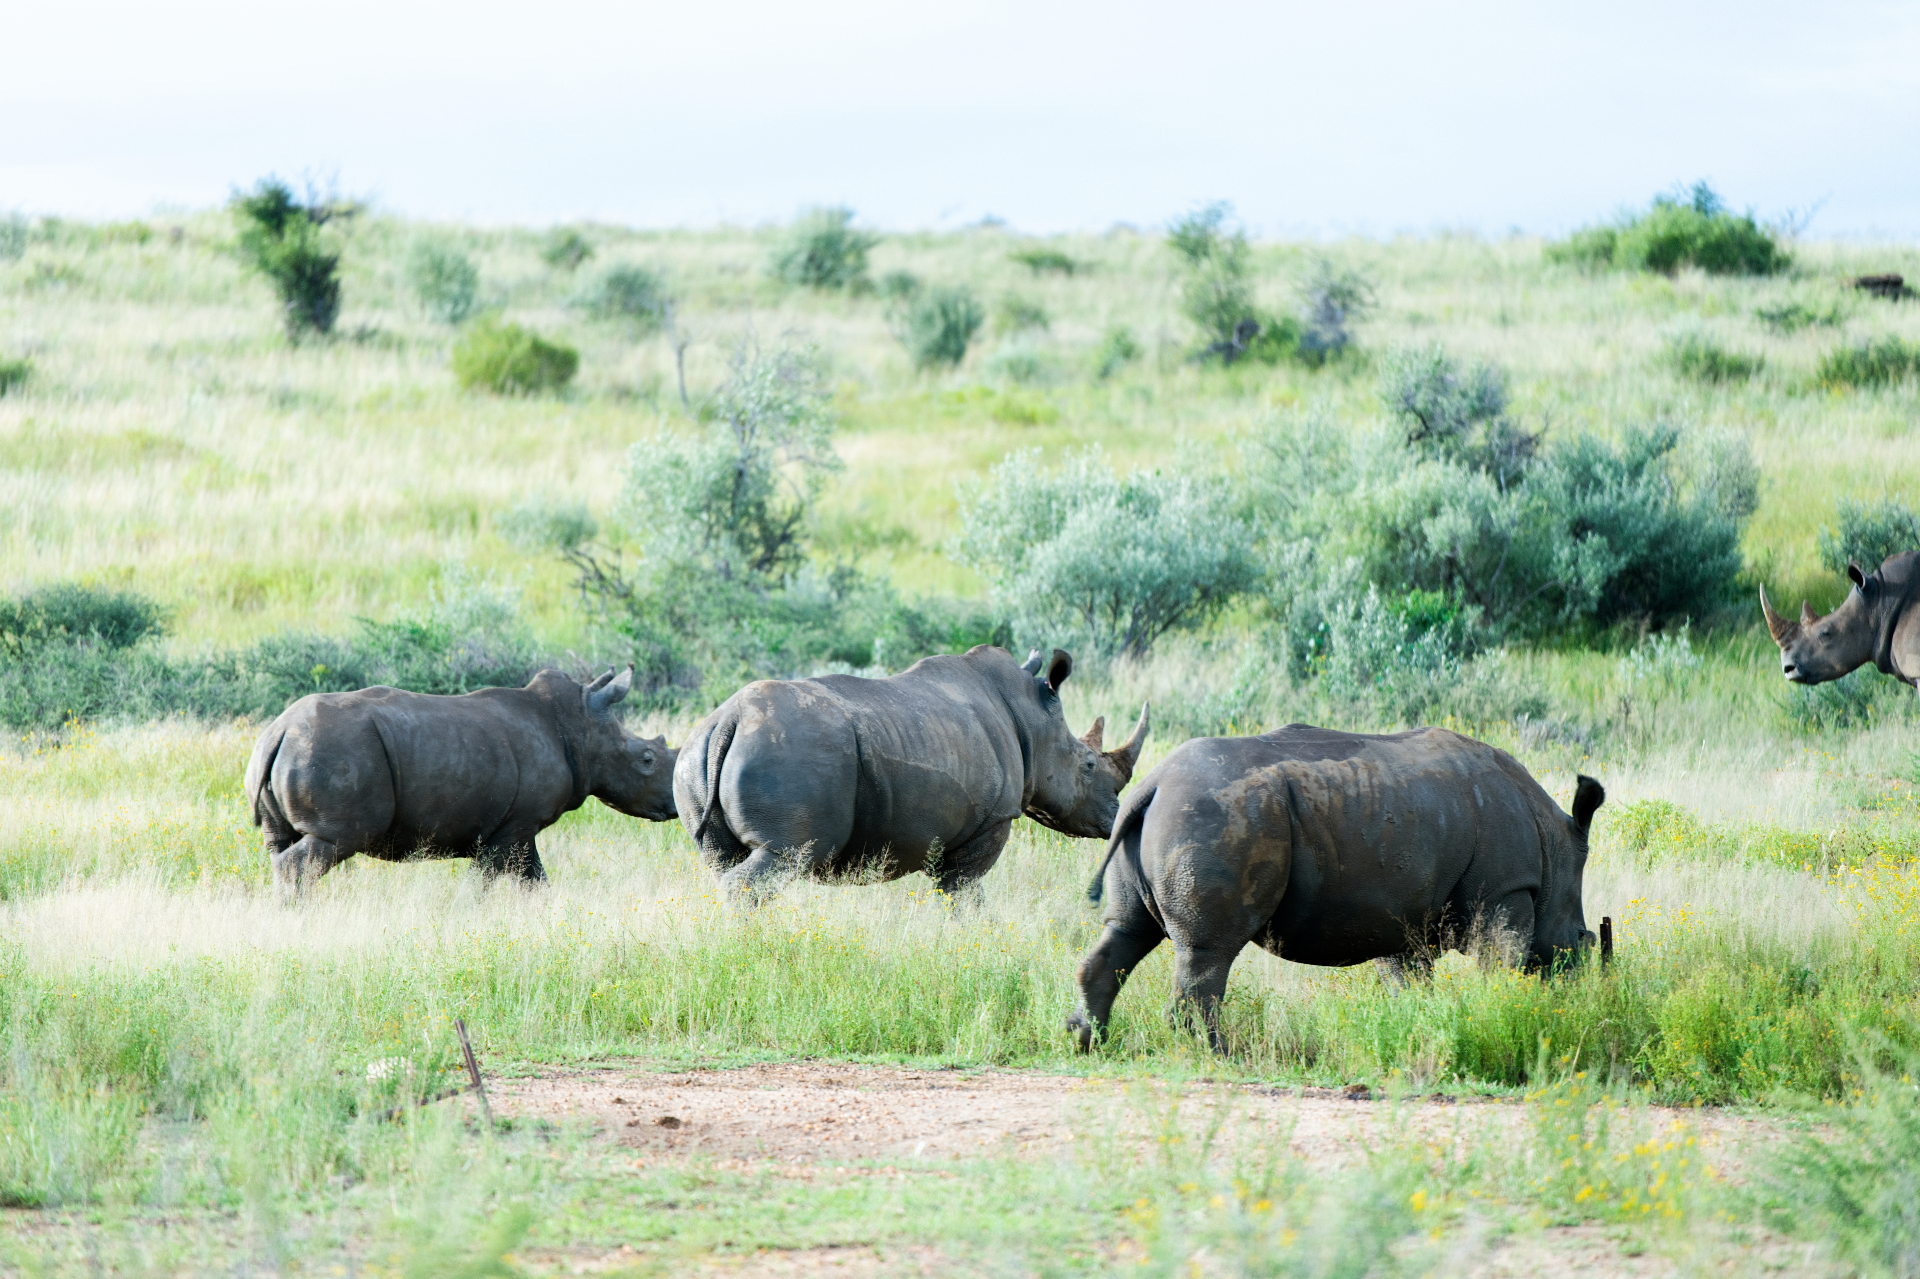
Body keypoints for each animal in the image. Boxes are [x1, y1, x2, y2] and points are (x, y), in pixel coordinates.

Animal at [246, 667, 677, 893]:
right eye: (647, 760)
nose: (675, 805)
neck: (581, 726)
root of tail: (280, 731)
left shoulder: (511, 829)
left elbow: (535, 882)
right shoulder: (513, 828)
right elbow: (487, 884)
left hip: (286, 751)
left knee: (282, 846)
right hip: (332, 754)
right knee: (330, 843)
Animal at [674, 645, 1148, 900]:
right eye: (1089, 765)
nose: (1115, 818)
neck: (1031, 719)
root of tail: (729, 720)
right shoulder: (992, 820)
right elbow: (964, 895)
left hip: (694, 757)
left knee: (720, 861)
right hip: (787, 756)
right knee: (779, 859)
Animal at [1067, 724, 1604, 1054]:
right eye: (1581, 941)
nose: (1576, 989)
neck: (1552, 839)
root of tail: (1153, 783)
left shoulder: (1401, 908)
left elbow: (1408, 981)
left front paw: (1416, 1028)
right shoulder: (1504, 889)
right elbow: (1502, 961)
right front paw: (1505, 1010)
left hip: (1161, 815)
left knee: (1128, 929)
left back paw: (1088, 1042)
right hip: (1214, 812)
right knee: (1207, 950)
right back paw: (1220, 1054)